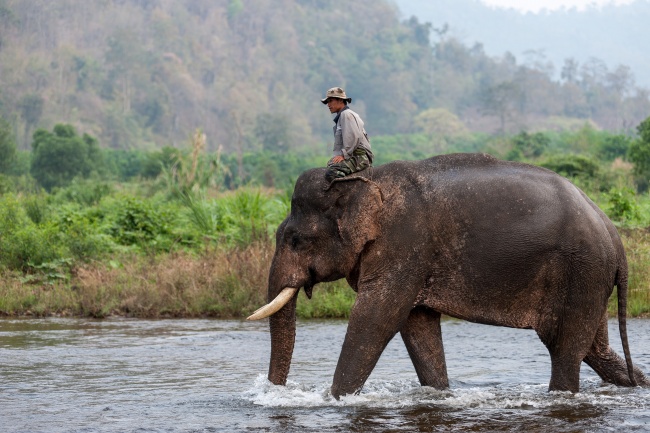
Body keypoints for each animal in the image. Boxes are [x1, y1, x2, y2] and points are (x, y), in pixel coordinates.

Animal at [248, 153, 648, 398]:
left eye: (295, 239)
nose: (273, 392)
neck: (365, 180)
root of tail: (616, 239)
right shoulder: (414, 260)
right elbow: (417, 323)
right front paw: (440, 394)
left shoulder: (404, 245)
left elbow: (377, 316)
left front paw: (336, 399)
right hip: (589, 279)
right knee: (594, 349)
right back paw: (638, 385)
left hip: (582, 272)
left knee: (566, 350)